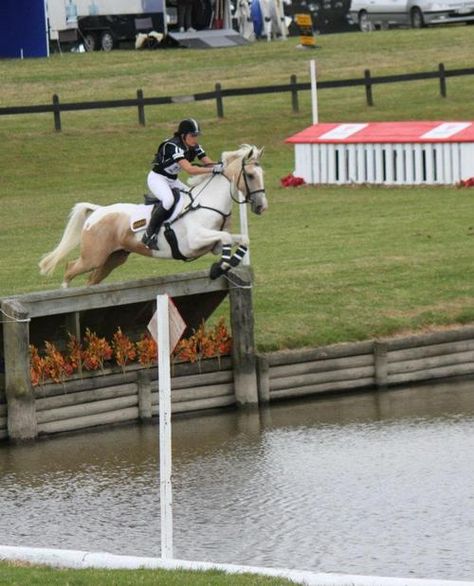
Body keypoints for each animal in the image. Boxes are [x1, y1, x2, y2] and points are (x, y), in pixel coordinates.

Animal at [39, 144, 268, 286]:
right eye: (250, 175)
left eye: (262, 174)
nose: (261, 207)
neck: (208, 203)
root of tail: (98, 212)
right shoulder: (194, 241)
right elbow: (227, 237)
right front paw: (219, 268)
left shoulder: (213, 244)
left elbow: (240, 239)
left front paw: (227, 264)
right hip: (93, 257)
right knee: (70, 269)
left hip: (113, 258)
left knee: (91, 280)